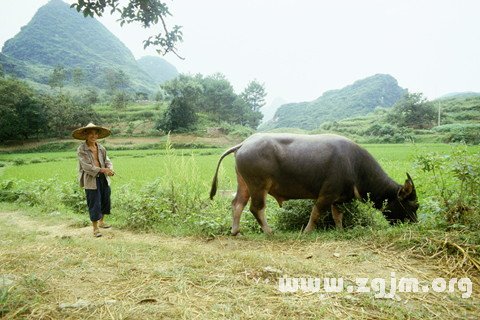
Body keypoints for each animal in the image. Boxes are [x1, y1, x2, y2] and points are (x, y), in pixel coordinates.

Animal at [210, 132, 416, 235]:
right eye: (414, 206)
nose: (414, 223)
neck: (355, 166)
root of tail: (244, 144)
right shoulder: (327, 194)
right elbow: (316, 213)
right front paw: (308, 231)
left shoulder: (338, 198)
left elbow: (337, 215)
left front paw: (340, 230)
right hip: (259, 185)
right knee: (256, 208)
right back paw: (268, 231)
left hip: (244, 183)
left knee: (237, 203)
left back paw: (235, 231)